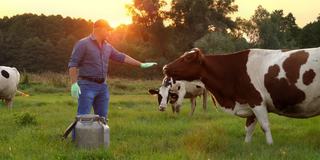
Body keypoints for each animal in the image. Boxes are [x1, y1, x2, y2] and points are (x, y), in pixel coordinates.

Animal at [164, 47, 320, 144]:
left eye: (187, 58)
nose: (165, 67)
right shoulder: (250, 103)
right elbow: (249, 128)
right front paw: (247, 145)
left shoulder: (256, 100)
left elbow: (265, 126)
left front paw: (270, 144)